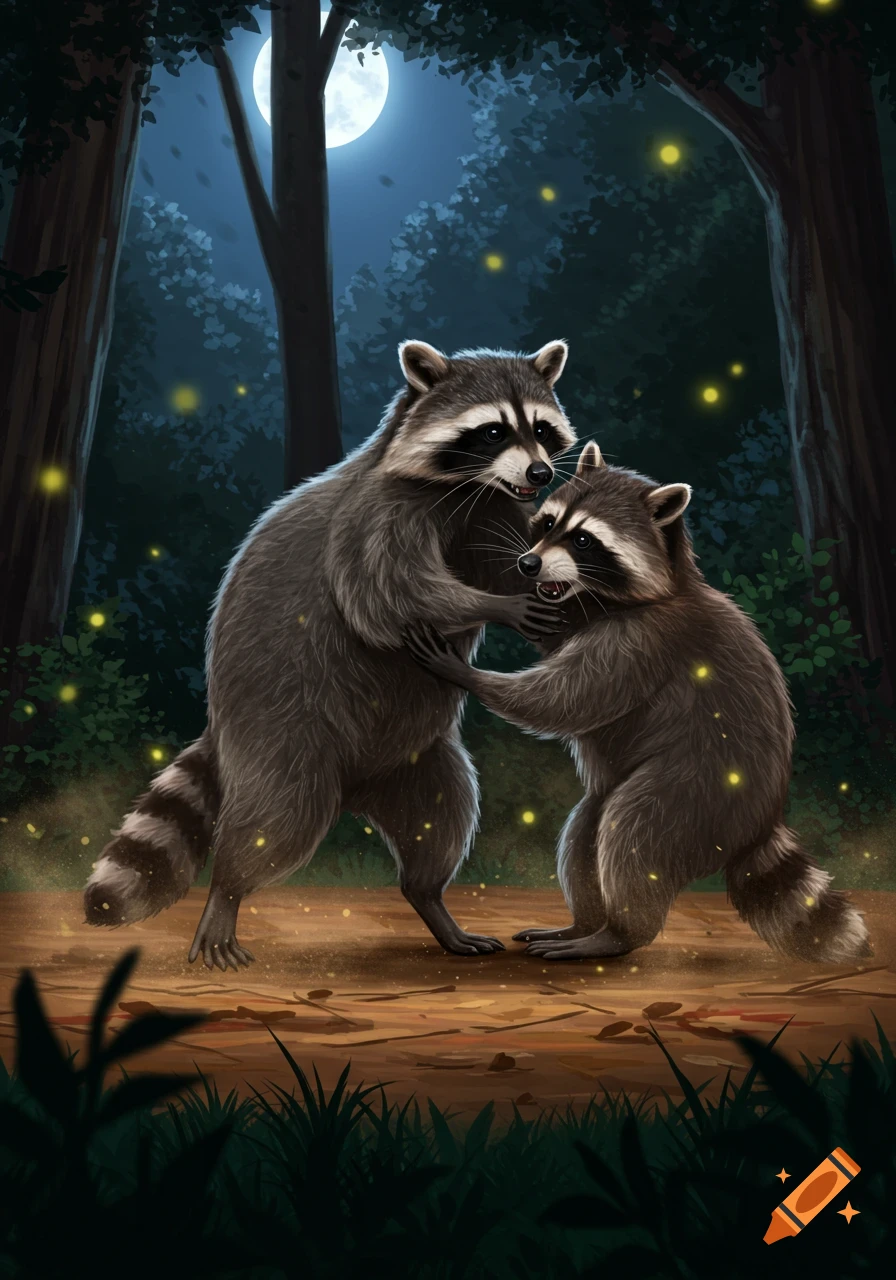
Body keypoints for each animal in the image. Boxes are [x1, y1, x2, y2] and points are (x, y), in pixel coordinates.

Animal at [83, 340, 577, 969]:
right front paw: (498, 604)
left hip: (416, 760)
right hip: (281, 735)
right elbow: (386, 597)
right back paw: (226, 891)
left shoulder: (491, 513)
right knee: (274, 819)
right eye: (492, 431)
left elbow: (520, 562)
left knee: (442, 816)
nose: (540, 472)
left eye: (540, 428)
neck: (466, 487)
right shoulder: (375, 518)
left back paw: (430, 900)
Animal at [405, 442, 871, 965]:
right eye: (548, 524)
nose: (528, 565)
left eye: (584, 540)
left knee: (635, 834)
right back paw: (584, 921)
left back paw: (618, 933)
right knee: (585, 833)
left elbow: (565, 699)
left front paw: (469, 674)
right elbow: (556, 637)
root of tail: (763, 820)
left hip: (700, 789)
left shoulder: (646, 644)